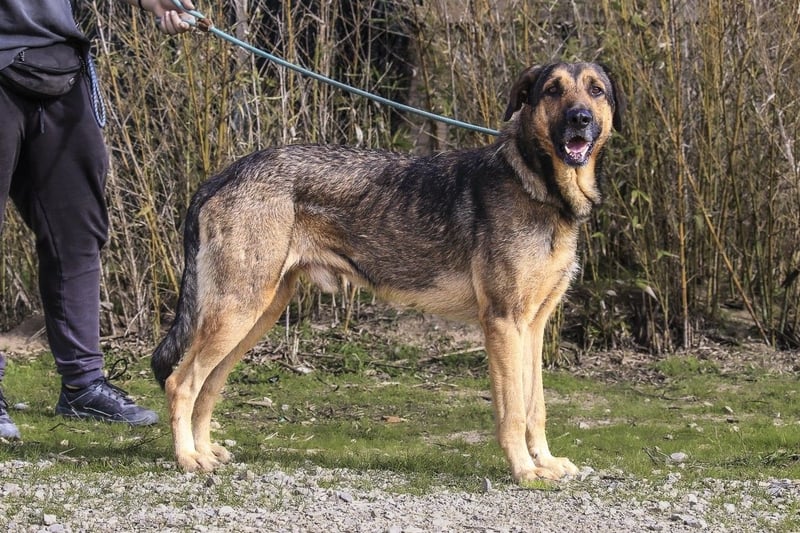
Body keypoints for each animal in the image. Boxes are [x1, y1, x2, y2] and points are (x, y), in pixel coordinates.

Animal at [151, 62, 624, 484]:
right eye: (552, 90)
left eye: (595, 90)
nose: (580, 119)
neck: (539, 188)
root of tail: (225, 174)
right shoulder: (504, 324)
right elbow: (511, 413)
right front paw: (524, 471)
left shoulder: (534, 326)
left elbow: (535, 408)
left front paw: (546, 462)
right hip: (238, 312)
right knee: (180, 383)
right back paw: (188, 459)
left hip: (257, 315)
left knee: (209, 385)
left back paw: (204, 450)